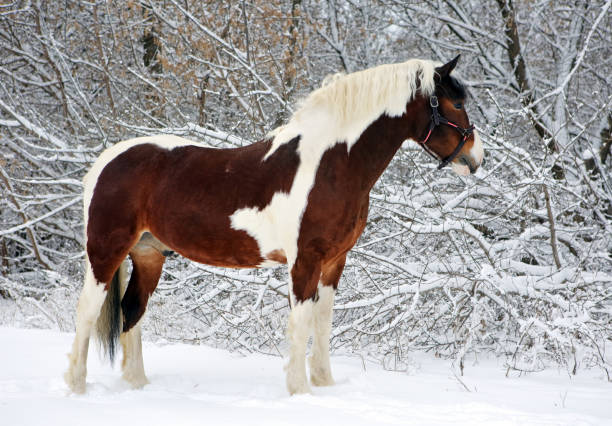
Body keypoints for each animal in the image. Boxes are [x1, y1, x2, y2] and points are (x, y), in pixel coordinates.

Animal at [63, 55, 482, 396]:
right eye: (457, 103)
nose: (475, 158)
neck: (329, 165)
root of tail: (106, 161)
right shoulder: (305, 260)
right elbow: (300, 322)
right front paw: (299, 391)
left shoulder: (335, 261)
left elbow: (323, 320)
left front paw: (324, 384)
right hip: (105, 252)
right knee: (87, 310)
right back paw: (77, 387)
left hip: (149, 254)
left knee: (132, 311)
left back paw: (137, 385)